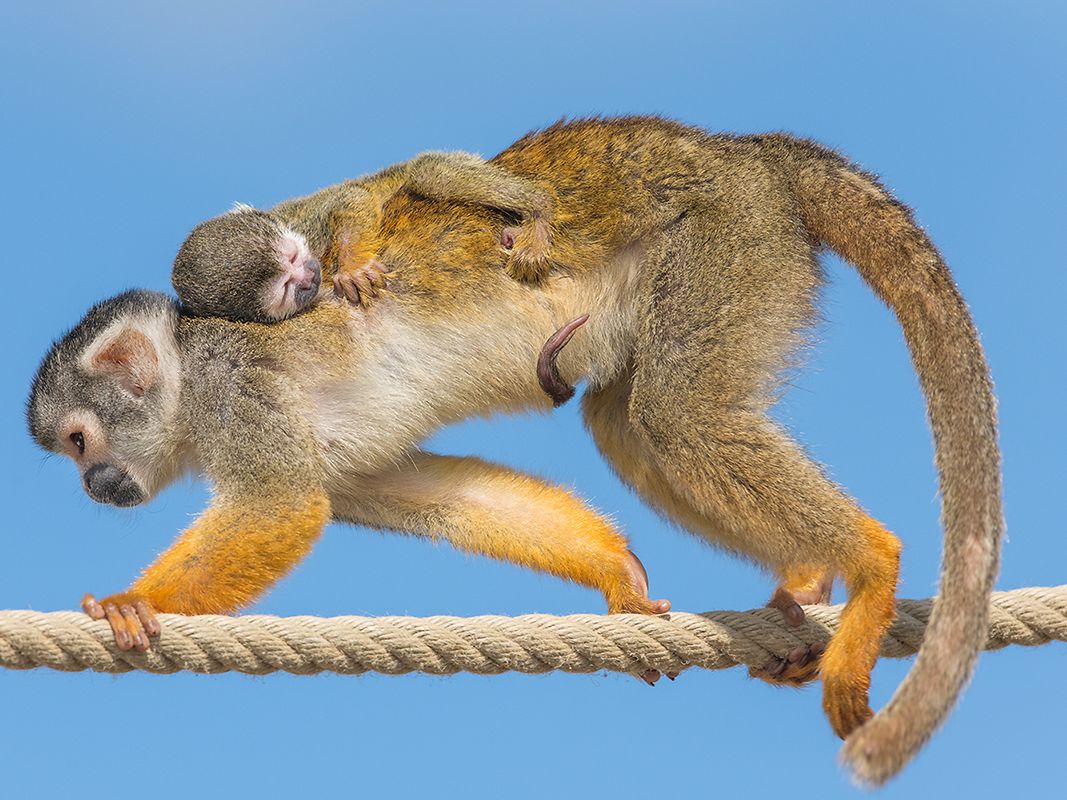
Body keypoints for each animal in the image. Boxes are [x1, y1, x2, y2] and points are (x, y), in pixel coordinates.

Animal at [170, 151, 554, 322]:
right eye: (287, 288)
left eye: (293, 257)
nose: (309, 277)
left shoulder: (302, 218)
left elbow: (350, 199)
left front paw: (352, 268)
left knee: (429, 173)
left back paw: (537, 209)